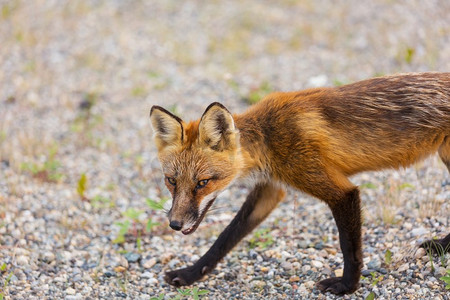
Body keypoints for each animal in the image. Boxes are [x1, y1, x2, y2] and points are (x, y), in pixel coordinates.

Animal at [150, 73, 450, 296]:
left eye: (203, 182)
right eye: (171, 181)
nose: (174, 224)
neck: (268, 139)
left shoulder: (339, 191)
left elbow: (349, 247)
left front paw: (346, 286)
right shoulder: (271, 189)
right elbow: (225, 239)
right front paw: (190, 273)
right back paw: (443, 247)